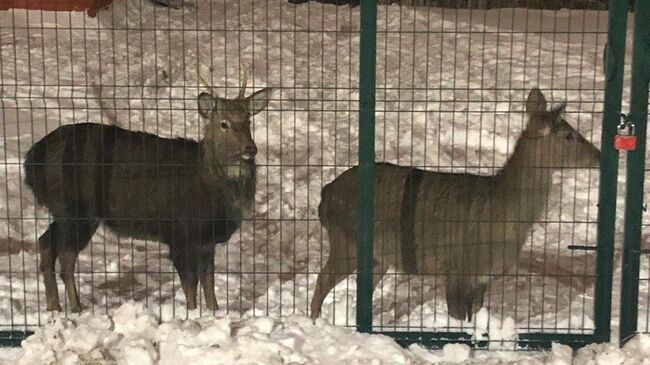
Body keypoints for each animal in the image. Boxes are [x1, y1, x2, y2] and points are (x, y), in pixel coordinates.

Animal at [308, 88, 596, 322]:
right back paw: (315, 321)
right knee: (322, 281)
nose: (599, 155)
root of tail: (325, 194)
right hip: (346, 239)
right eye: (569, 135)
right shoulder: (458, 267)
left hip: (379, 255)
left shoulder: (482, 277)